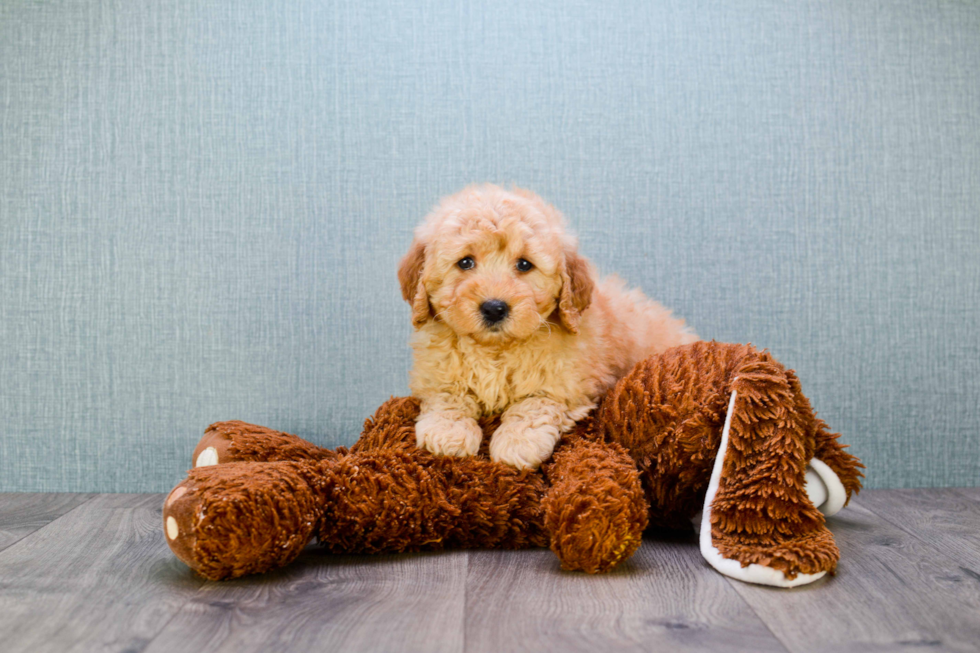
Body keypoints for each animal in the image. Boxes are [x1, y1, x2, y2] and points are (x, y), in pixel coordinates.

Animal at [396, 183, 696, 468]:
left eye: (524, 265)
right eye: (466, 262)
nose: (494, 308)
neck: (495, 349)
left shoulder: (567, 385)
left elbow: (534, 405)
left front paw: (517, 443)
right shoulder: (436, 375)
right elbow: (447, 397)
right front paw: (448, 432)